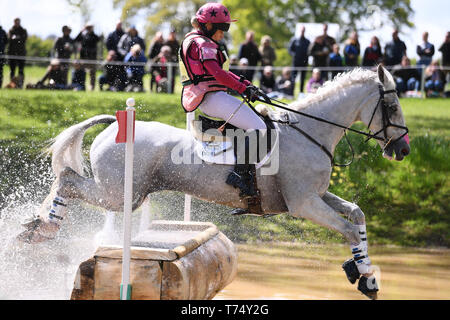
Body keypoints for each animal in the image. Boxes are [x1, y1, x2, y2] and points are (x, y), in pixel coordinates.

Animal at [18, 66, 412, 298]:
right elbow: (348, 230)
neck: (309, 132)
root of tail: (115, 123)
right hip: (119, 195)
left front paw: (367, 274)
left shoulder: (316, 196)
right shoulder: (304, 204)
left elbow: (357, 215)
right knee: (68, 180)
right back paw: (42, 228)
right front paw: (362, 275)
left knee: (68, 180)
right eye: (392, 108)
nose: (403, 150)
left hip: (124, 194)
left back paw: (36, 226)